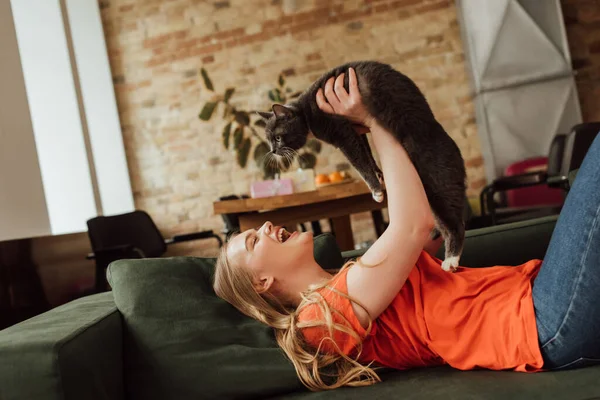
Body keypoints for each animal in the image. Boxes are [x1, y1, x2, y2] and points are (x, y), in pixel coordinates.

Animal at [255, 60, 466, 272]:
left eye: (278, 138)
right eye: (269, 140)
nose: (273, 150)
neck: (306, 111)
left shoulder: (342, 132)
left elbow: (359, 163)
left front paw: (376, 190)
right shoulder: (358, 130)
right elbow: (367, 154)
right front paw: (379, 174)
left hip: (435, 180)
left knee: (456, 220)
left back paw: (451, 259)